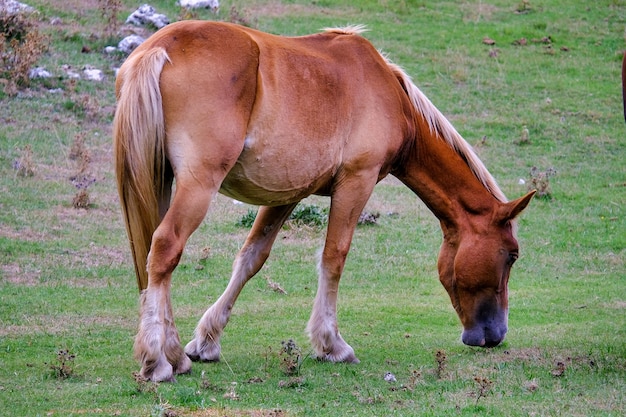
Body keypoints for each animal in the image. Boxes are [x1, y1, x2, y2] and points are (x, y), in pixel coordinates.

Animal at [112, 22, 532, 380]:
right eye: (511, 255)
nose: (495, 335)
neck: (387, 92)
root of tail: (160, 47)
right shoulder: (356, 182)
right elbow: (334, 257)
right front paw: (332, 344)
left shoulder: (286, 194)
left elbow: (251, 259)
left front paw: (206, 341)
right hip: (198, 184)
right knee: (165, 249)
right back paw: (157, 361)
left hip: (164, 182)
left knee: (154, 254)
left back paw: (175, 355)